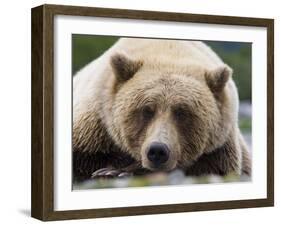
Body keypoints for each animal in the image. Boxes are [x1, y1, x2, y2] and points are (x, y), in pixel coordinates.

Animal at [71, 38, 249, 181]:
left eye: (182, 112)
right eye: (146, 110)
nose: (157, 151)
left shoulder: (218, 150)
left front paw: (116, 171)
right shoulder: (95, 126)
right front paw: (109, 171)